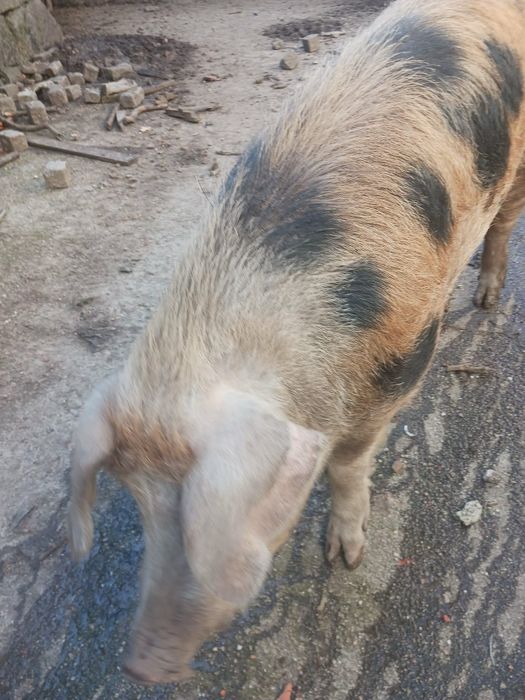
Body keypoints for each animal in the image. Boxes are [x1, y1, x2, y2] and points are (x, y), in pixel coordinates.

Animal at [67, 0, 525, 684]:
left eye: (208, 515)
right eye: (141, 505)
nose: (142, 663)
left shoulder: (397, 367)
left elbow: (348, 464)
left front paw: (345, 559)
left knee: (502, 225)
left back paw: (486, 301)